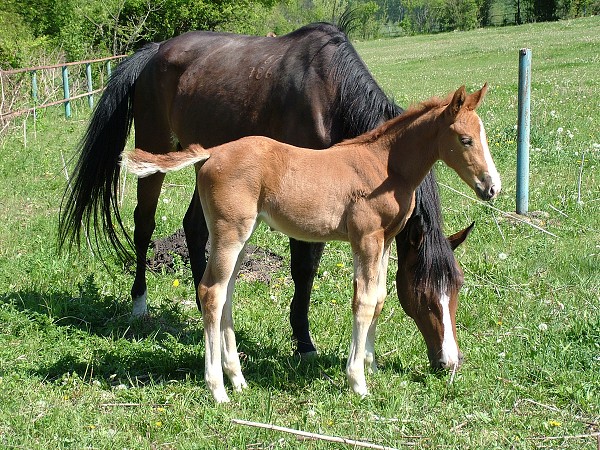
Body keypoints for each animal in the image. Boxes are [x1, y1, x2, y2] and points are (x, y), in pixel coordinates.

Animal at [59, 22, 474, 358]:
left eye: (456, 286)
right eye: (422, 292)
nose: (449, 361)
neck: (330, 95)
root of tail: (154, 51)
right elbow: (304, 269)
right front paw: (304, 342)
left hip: (208, 162)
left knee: (194, 228)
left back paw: (204, 307)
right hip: (155, 145)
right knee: (144, 224)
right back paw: (140, 304)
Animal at [124, 83, 500, 400]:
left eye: (457, 285)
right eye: (465, 139)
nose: (491, 186)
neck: (384, 166)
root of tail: (211, 153)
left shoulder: (385, 240)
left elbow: (379, 298)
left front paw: (371, 365)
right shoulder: (365, 238)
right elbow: (363, 302)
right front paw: (357, 381)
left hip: (241, 234)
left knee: (226, 293)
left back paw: (238, 379)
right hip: (230, 233)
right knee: (211, 292)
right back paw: (217, 388)